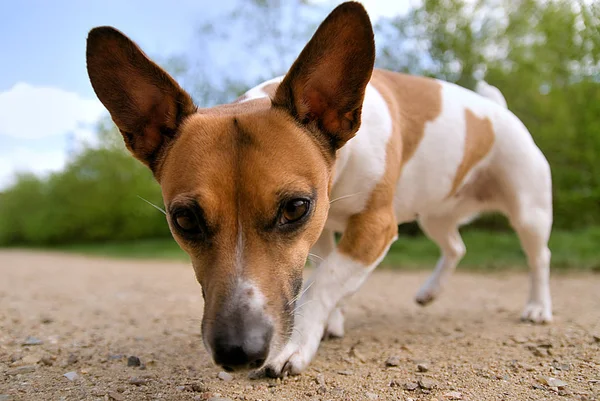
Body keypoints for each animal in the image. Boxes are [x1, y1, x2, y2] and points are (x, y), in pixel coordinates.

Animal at [85, 0, 552, 376]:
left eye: (294, 208)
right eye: (184, 220)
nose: (238, 351)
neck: (339, 168)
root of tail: (497, 109)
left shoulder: (374, 227)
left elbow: (324, 282)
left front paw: (297, 341)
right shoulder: (325, 228)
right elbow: (325, 273)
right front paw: (332, 320)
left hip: (528, 212)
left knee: (538, 258)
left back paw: (537, 307)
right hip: (434, 213)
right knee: (455, 245)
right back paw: (430, 290)